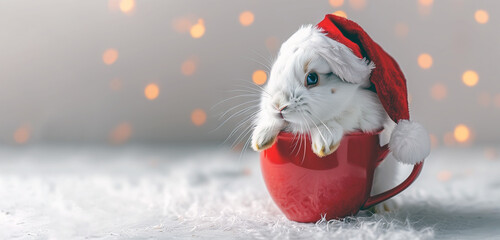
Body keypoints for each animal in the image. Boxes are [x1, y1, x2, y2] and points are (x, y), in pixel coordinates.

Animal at [252, 24, 400, 212]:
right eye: (275, 73)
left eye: (312, 78)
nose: (278, 105)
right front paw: (260, 139)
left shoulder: (364, 115)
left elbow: (335, 122)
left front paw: (324, 142)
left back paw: (384, 208)